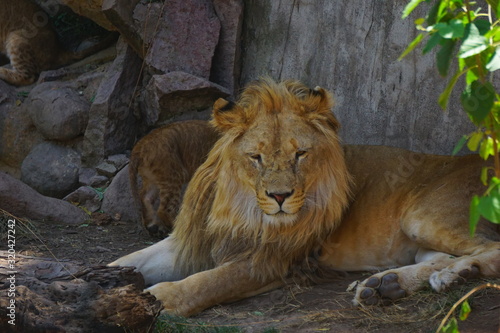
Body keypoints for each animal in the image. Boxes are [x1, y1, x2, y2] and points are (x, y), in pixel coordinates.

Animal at [110, 76, 500, 316]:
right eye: (257, 157)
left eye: (301, 154)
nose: (280, 197)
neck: (240, 205)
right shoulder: (190, 240)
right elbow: (128, 261)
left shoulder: (270, 260)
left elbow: (204, 283)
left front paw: (156, 298)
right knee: (440, 257)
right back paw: (389, 285)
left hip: (422, 216)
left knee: (487, 249)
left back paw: (457, 273)